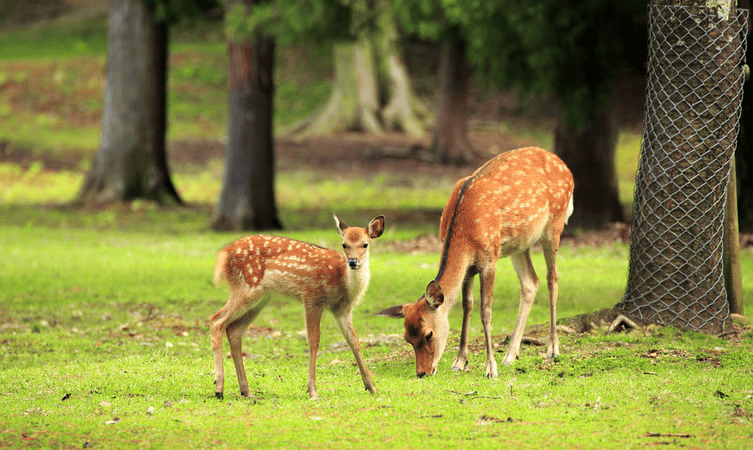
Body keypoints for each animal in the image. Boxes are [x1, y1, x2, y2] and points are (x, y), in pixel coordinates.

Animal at [210, 213, 385, 400]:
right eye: (344, 244)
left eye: (365, 244)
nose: (352, 261)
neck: (342, 281)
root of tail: (223, 254)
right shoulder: (311, 296)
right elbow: (314, 340)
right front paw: (312, 391)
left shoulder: (342, 310)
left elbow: (354, 341)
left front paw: (372, 387)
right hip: (247, 287)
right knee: (216, 320)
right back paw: (219, 388)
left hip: (260, 298)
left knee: (234, 330)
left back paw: (246, 391)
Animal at [378, 147, 574, 379]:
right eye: (408, 338)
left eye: (428, 334)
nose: (422, 372)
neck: (465, 233)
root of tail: (565, 167)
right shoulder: (469, 268)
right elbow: (466, 306)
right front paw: (460, 362)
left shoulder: (490, 258)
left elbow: (485, 312)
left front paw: (490, 368)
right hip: (520, 243)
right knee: (531, 282)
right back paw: (510, 355)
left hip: (554, 225)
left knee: (552, 278)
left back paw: (552, 349)